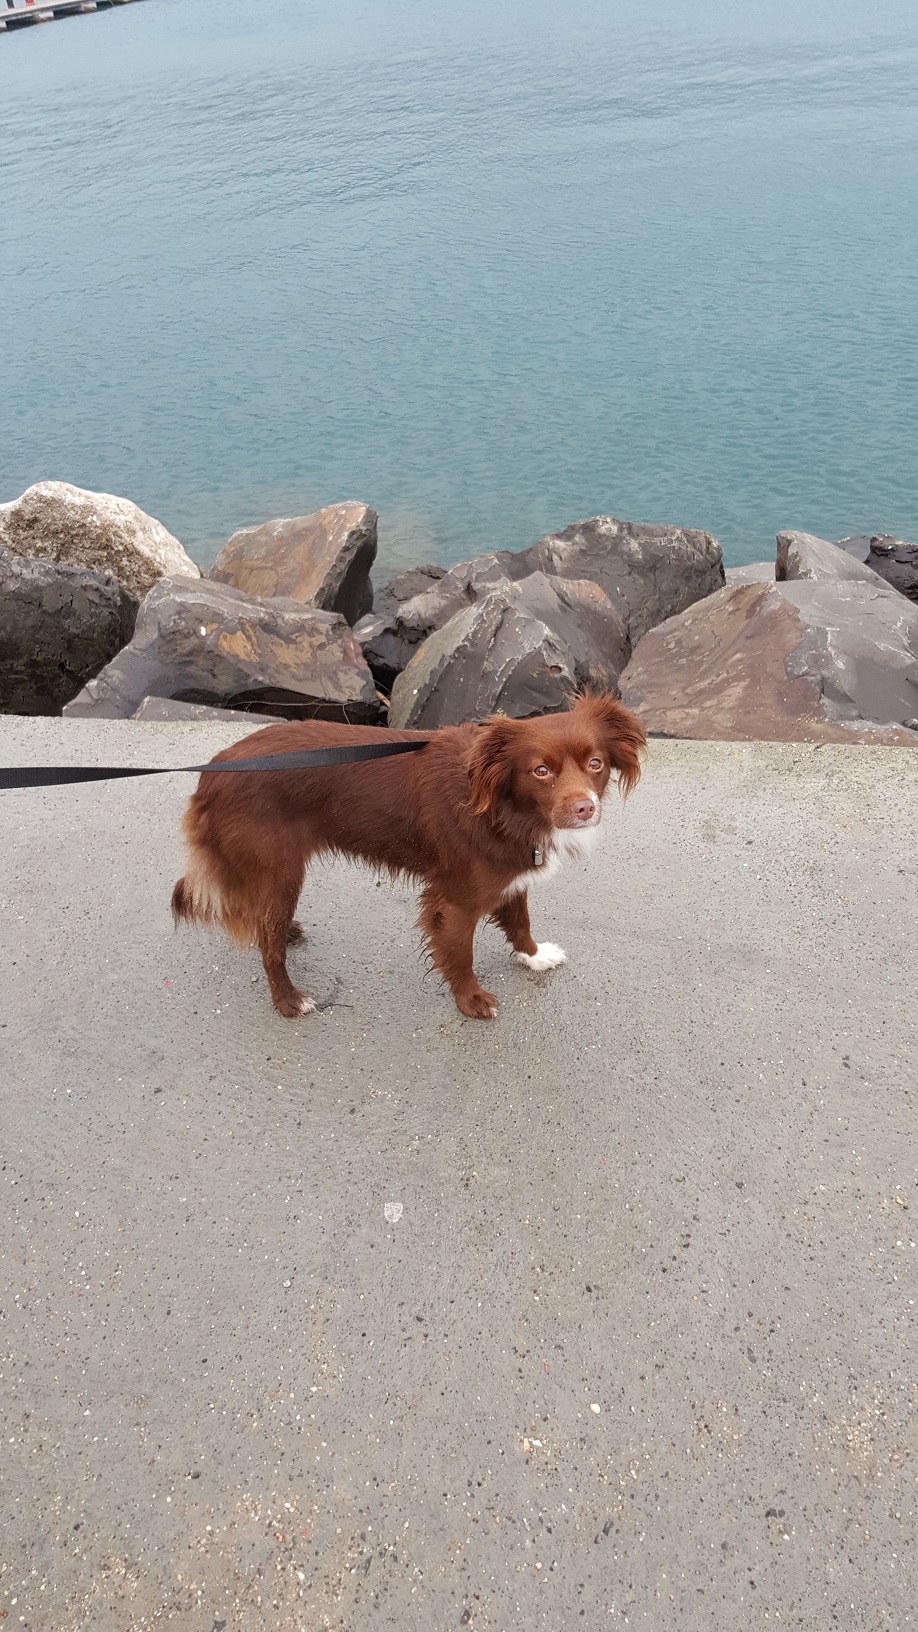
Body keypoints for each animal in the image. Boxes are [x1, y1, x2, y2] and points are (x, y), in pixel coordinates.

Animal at [171, 691, 645, 1020]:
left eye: (596, 763)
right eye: (541, 771)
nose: (584, 807)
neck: (502, 806)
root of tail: (211, 774)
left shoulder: (510, 872)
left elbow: (519, 919)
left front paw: (534, 956)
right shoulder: (456, 898)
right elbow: (459, 952)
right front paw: (471, 1000)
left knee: (266, 921)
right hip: (279, 870)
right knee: (267, 944)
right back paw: (288, 1000)